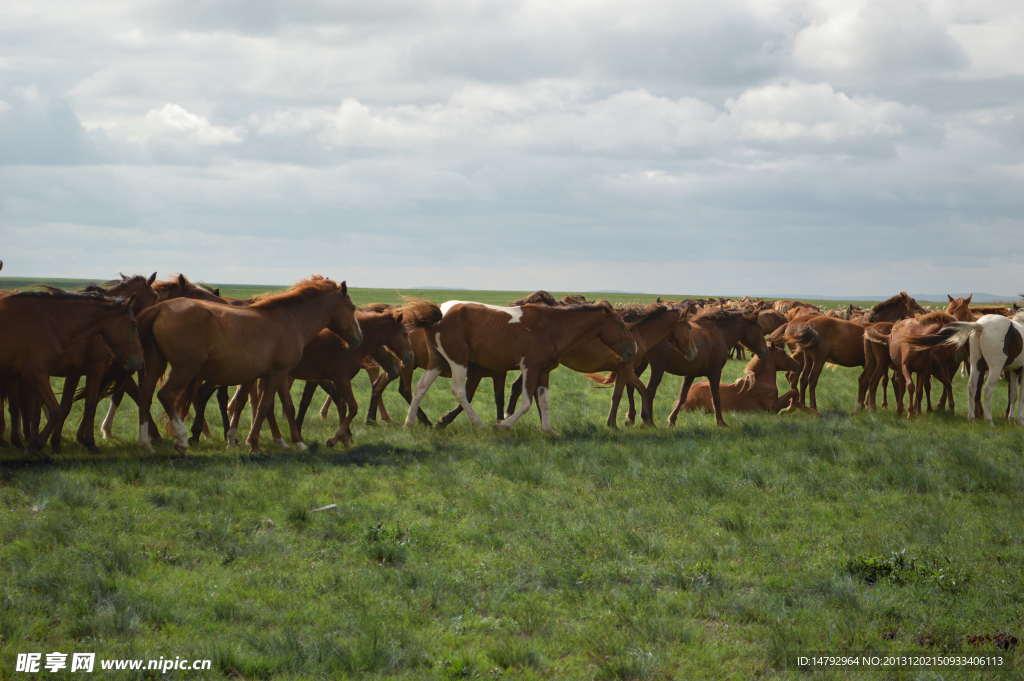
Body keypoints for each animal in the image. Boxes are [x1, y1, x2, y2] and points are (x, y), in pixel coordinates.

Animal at [0, 288, 142, 454]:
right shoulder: (38, 374)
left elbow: (49, 409)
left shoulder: (65, 373)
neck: (48, 322)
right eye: (133, 325)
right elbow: (57, 410)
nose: (139, 360)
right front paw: (39, 444)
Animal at [134, 274, 362, 454]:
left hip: (155, 365)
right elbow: (263, 407)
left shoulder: (278, 374)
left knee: (145, 397)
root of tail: (159, 308)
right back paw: (181, 439)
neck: (291, 320)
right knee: (166, 395)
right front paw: (253, 443)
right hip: (185, 369)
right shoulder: (276, 374)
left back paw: (146, 444)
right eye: (352, 308)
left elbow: (287, 407)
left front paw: (297, 443)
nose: (359, 339)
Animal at [405, 301, 634, 430]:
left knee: (420, 387)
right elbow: (526, 403)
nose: (634, 350)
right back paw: (478, 424)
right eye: (621, 325)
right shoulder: (529, 368)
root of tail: (439, 313)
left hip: (437, 360)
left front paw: (548, 430)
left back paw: (410, 423)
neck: (552, 327)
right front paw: (502, 424)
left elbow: (544, 401)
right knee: (460, 391)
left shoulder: (543, 371)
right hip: (458, 360)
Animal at [679, 346, 815, 413]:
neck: (763, 382)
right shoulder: (772, 407)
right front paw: (790, 409)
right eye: (782, 353)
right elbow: (793, 392)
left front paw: (814, 413)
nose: (797, 364)